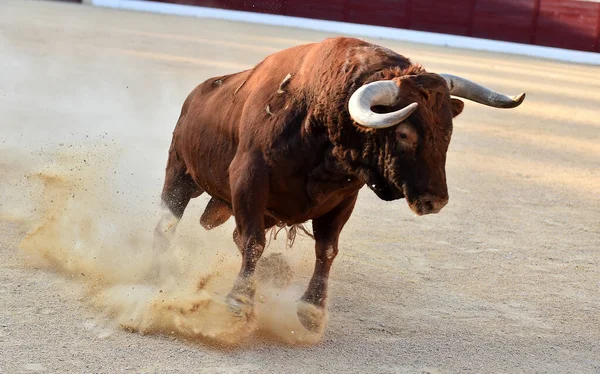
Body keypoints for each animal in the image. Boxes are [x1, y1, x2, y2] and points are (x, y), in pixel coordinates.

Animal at [154, 36, 524, 332]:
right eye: (404, 133)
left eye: (448, 130)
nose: (436, 200)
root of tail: (197, 94)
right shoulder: (249, 180)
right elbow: (253, 242)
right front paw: (239, 302)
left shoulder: (343, 199)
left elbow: (326, 249)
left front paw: (312, 311)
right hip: (180, 173)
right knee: (168, 221)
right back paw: (159, 269)